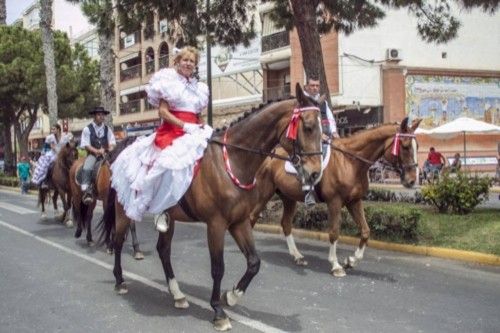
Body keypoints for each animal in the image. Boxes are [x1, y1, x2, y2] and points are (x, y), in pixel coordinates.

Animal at [100, 83, 326, 330]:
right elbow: (218, 268)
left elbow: (254, 262)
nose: (315, 174)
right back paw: (120, 280)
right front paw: (218, 311)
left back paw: (177, 294)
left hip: (169, 218)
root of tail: (120, 149)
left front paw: (232, 296)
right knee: (118, 241)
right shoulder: (216, 224)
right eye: (308, 127)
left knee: (163, 250)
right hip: (123, 210)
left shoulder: (239, 222)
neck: (233, 160)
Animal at [248, 116, 420, 274]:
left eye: (417, 146)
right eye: (405, 146)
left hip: (288, 198)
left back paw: (298, 256)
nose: (412, 180)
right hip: (264, 194)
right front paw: (336, 265)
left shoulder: (354, 201)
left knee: (285, 224)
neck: (350, 162)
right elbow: (334, 232)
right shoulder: (334, 202)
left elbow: (365, 231)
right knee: (252, 217)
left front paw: (351, 261)